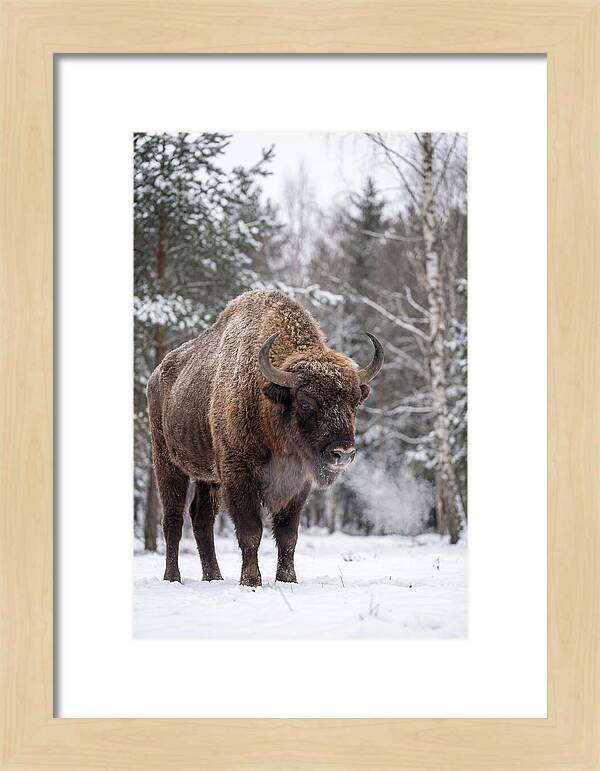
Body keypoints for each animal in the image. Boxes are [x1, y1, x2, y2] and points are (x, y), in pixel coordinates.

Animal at [147, 289, 383, 586]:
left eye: (354, 403)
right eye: (305, 402)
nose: (343, 453)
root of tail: (156, 375)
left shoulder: (298, 484)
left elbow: (288, 535)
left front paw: (288, 579)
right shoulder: (238, 475)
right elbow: (251, 532)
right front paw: (251, 581)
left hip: (207, 477)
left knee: (201, 519)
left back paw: (214, 577)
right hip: (167, 462)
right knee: (174, 519)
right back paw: (173, 578)